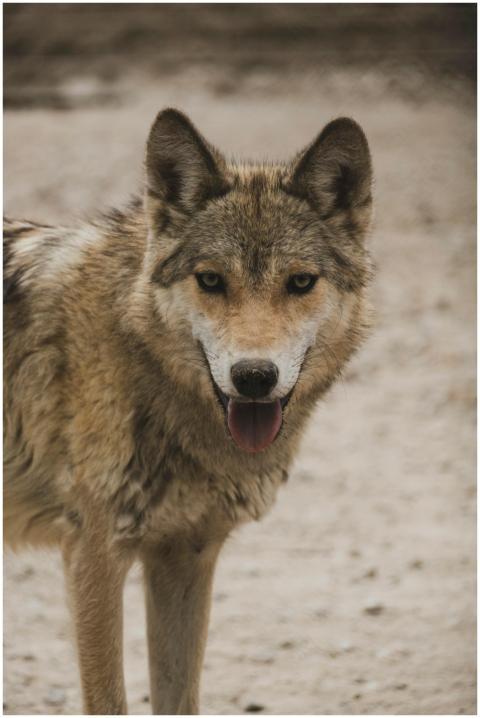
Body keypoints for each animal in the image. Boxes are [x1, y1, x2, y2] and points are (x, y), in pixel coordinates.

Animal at [4, 108, 373, 714]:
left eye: (300, 282)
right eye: (210, 280)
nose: (254, 377)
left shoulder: (186, 555)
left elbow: (180, 697)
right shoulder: (93, 556)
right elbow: (110, 700)